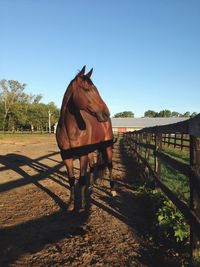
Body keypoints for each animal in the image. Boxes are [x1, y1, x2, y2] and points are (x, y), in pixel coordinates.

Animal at [55, 66, 116, 211]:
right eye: (87, 89)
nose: (106, 113)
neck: (71, 130)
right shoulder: (66, 156)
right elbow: (71, 179)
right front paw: (70, 204)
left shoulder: (82, 155)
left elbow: (82, 178)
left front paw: (82, 206)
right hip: (91, 151)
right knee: (93, 167)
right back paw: (90, 188)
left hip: (107, 147)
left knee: (110, 165)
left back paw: (112, 190)